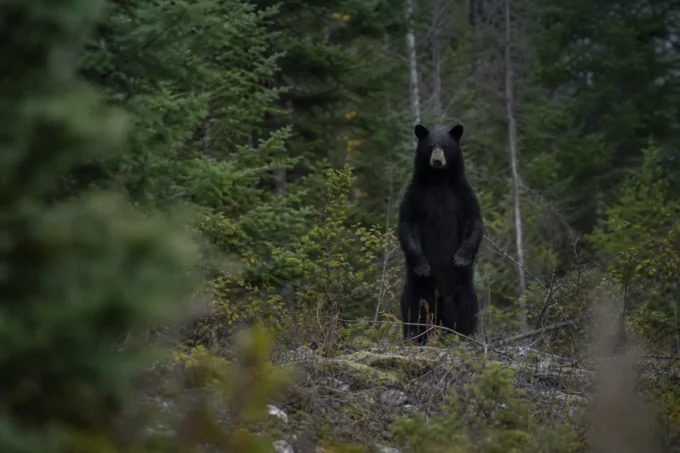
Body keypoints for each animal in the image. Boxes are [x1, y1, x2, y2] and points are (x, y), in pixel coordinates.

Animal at [397, 123, 484, 345]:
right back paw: (414, 338)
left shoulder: (463, 194)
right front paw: (422, 265)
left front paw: (461, 258)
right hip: (417, 290)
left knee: (466, 313)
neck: (439, 181)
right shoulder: (415, 195)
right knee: (413, 313)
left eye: (445, 146)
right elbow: (408, 224)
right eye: (430, 146)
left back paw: (465, 337)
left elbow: (474, 221)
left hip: (462, 291)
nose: (437, 160)